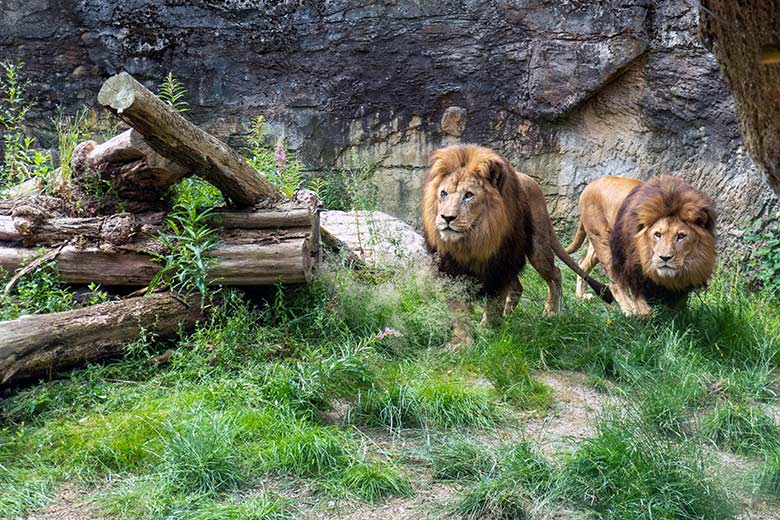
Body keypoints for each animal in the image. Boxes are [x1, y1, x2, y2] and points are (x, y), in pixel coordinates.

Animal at [424, 143, 612, 338]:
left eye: (468, 195)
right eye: (443, 193)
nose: (446, 218)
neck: (472, 242)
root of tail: (530, 180)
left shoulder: (499, 265)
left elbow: (493, 303)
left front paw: (488, 330)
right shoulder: (451, 270)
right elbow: (459, 310)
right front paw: (462, 341)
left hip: (537, 248)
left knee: (555, 273)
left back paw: (552, 311)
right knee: (517, 287)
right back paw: (508, 315)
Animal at [564, 174, 716, 316]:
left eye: (681, 236)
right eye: (657, 234)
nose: (665, 258)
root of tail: (590, 185)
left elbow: (678, 306)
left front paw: (677, 320)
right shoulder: (633, 266)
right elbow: (639, 298)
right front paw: (646, 318)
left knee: (582, 263)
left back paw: (581, 297)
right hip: (603, 241)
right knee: (614, 282)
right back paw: (628, 310)